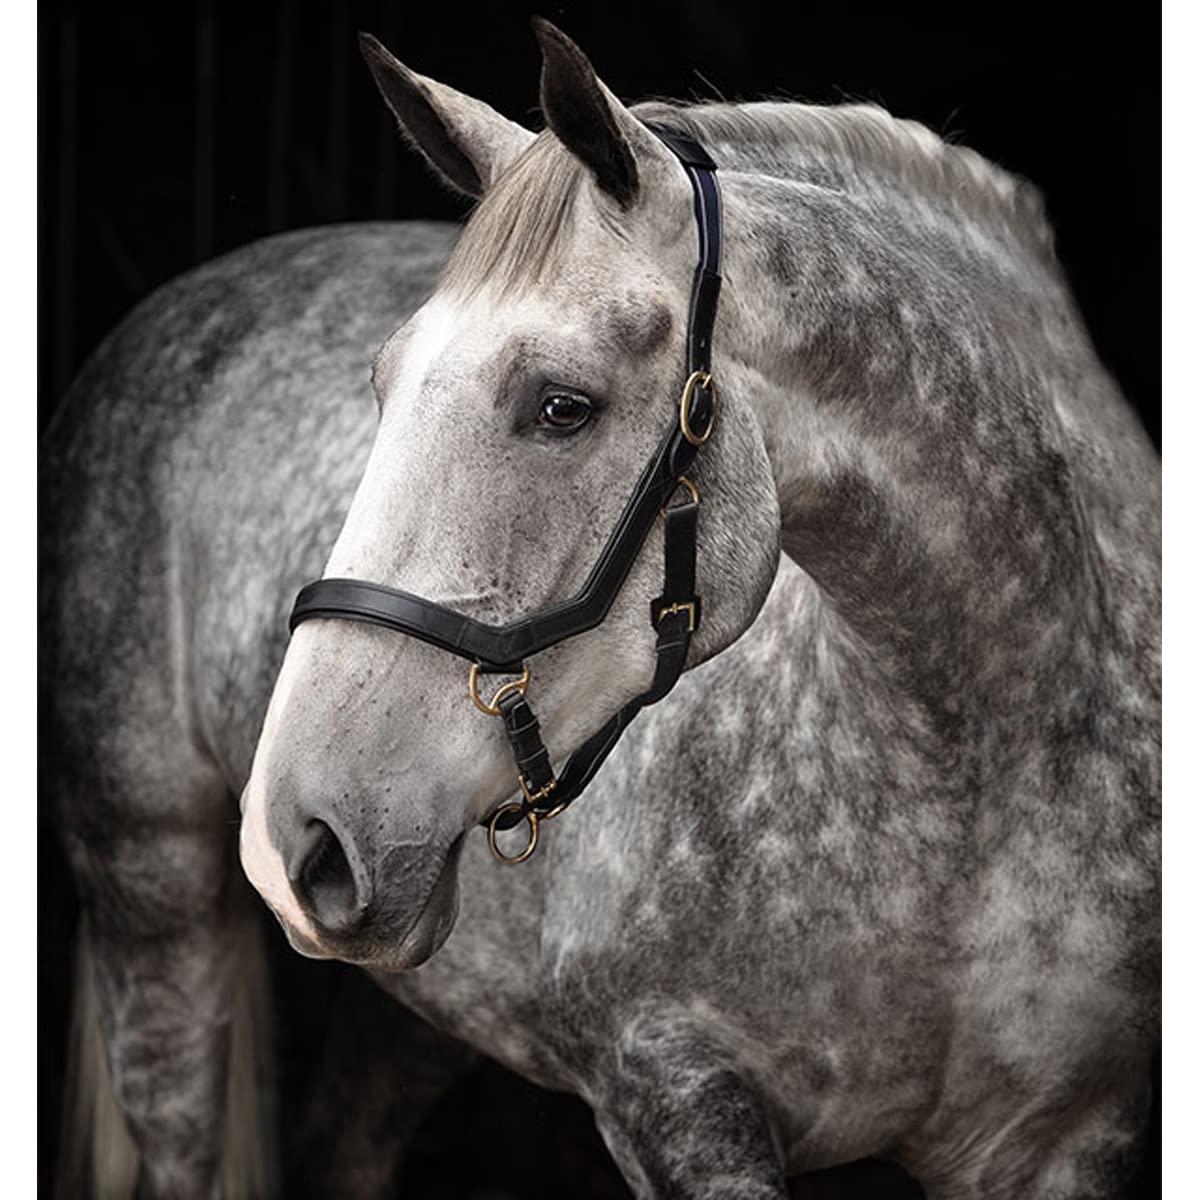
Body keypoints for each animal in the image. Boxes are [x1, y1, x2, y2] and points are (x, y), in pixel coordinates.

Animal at [45, 18, 1159, 1199]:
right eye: (382, 386)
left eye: (562, 407)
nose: (290, 836)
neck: (985, 752)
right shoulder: (671, 1096)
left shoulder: (1068, 1135)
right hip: (153, 902)